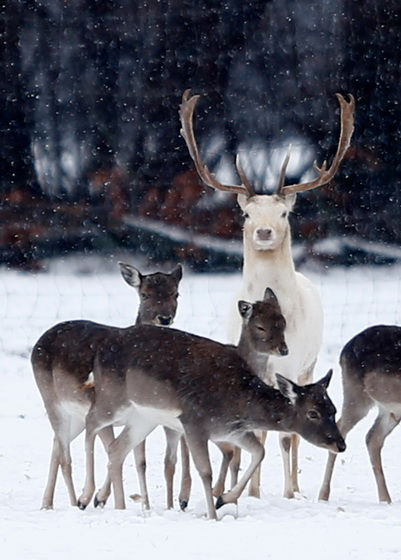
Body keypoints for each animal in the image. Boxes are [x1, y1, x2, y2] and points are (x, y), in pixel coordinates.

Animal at [32, 262, 182, 508]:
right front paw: (101, 499)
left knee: (56, 446)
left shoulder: (140, 416)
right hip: (50, 398)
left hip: (74, 415)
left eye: (175, 293)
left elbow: (139, 461)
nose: (164, 318)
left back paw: (47, 503)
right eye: (144, 294)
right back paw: (74, 502)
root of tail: (39, 341)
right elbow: (112, 450)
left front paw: (145, 507)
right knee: (65, 456)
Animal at [76, 326, 346, 520]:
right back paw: (85, 496)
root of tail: (99, 351)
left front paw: (225, 498)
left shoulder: (230, 431)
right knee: (90, 422)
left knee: (117, 448)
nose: (340, 444)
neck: (238, 402)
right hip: (112, 398)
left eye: (333, 409)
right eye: (313, 413)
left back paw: (115, 505)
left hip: (143, 417)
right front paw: (213, 515)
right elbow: (205, 471)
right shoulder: (194, 422)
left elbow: (259, 452)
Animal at [318, 324, 401, 504]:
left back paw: (385, 499)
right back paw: (323, 495)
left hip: (390, 410)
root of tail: (344, 350)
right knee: (342, 428)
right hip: (356, 395)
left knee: (372, 438)